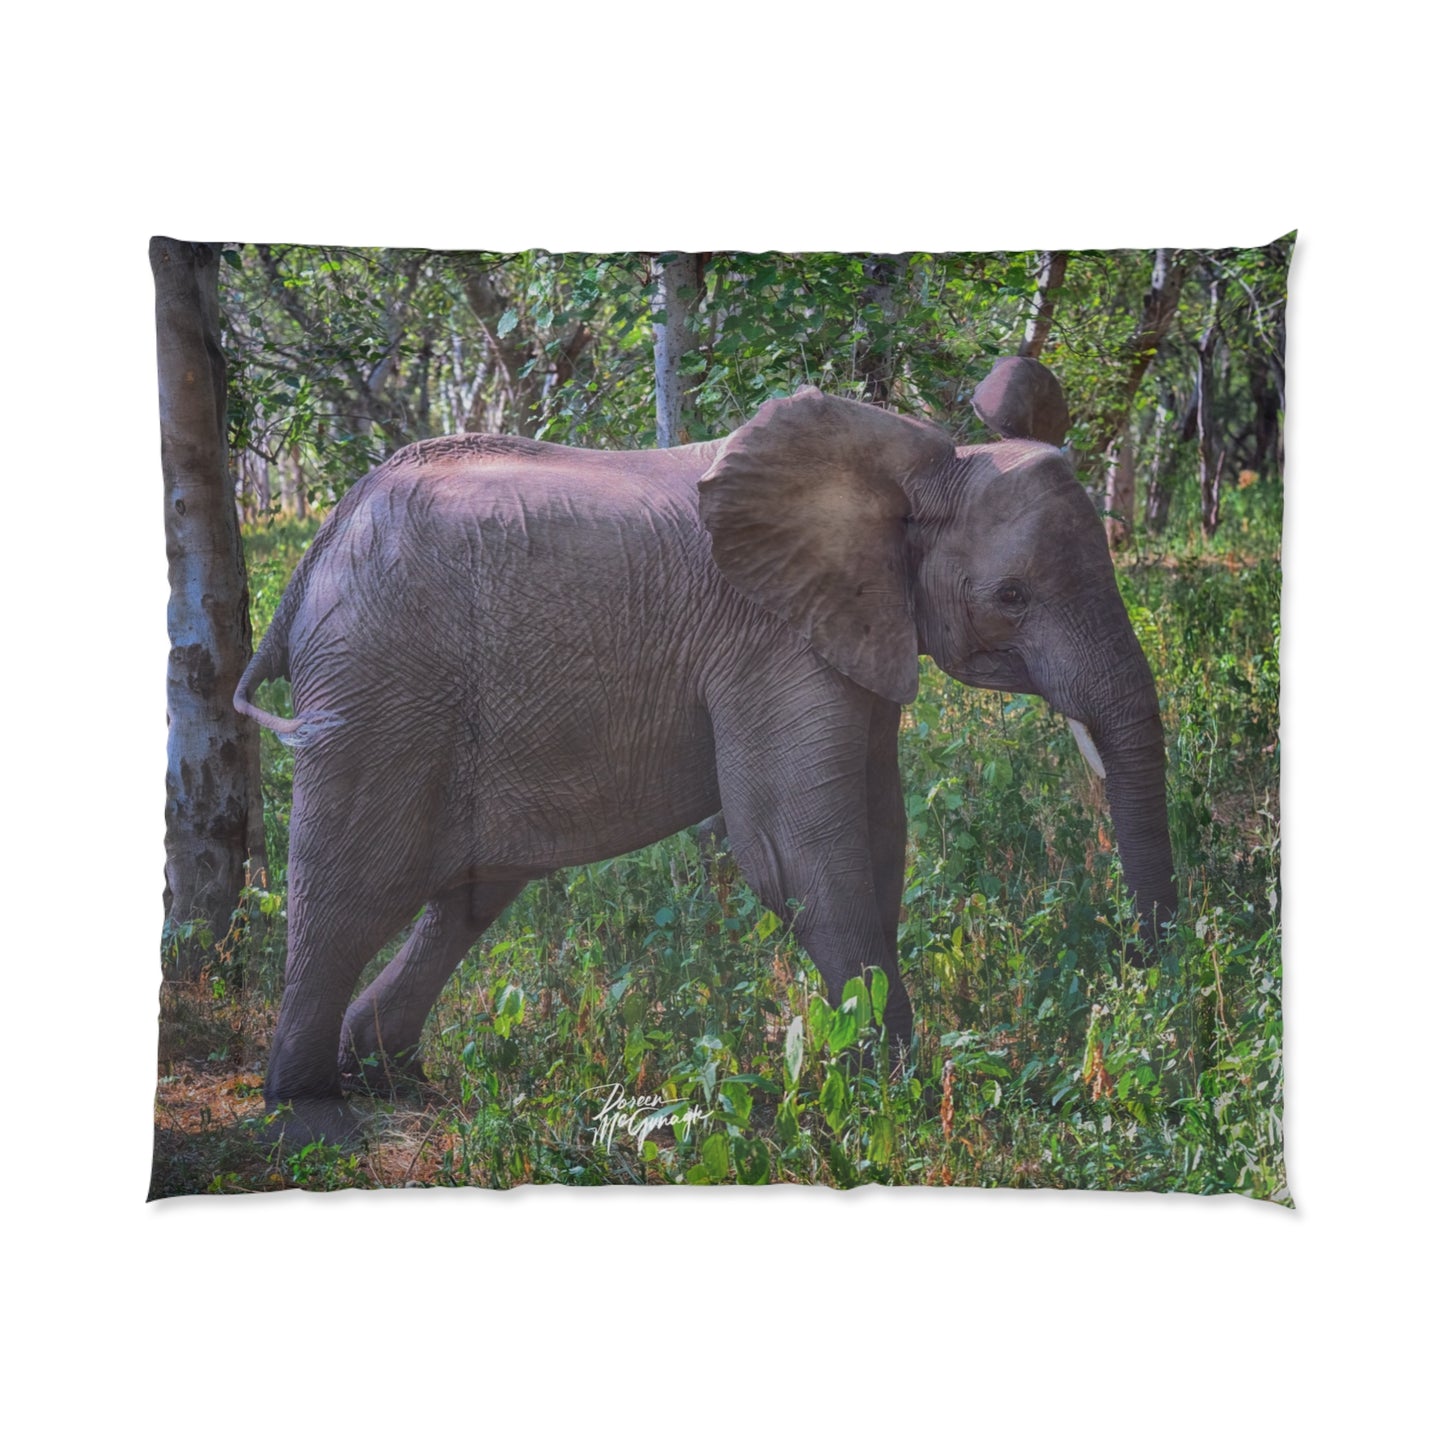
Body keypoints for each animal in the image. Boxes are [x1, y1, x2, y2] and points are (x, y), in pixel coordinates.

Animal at [235, 358, 1177, 1137]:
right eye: (1010, 597)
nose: (1146, 983)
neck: (913, 467)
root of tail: (319, 544)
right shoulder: (770, 639)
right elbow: (794, 851)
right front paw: (893, 1092)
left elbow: (879, 837)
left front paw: (877, 1071)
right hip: (381, 681)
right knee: (350, 888)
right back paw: (310, 1111)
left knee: (473, 891)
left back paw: (385, 1072)